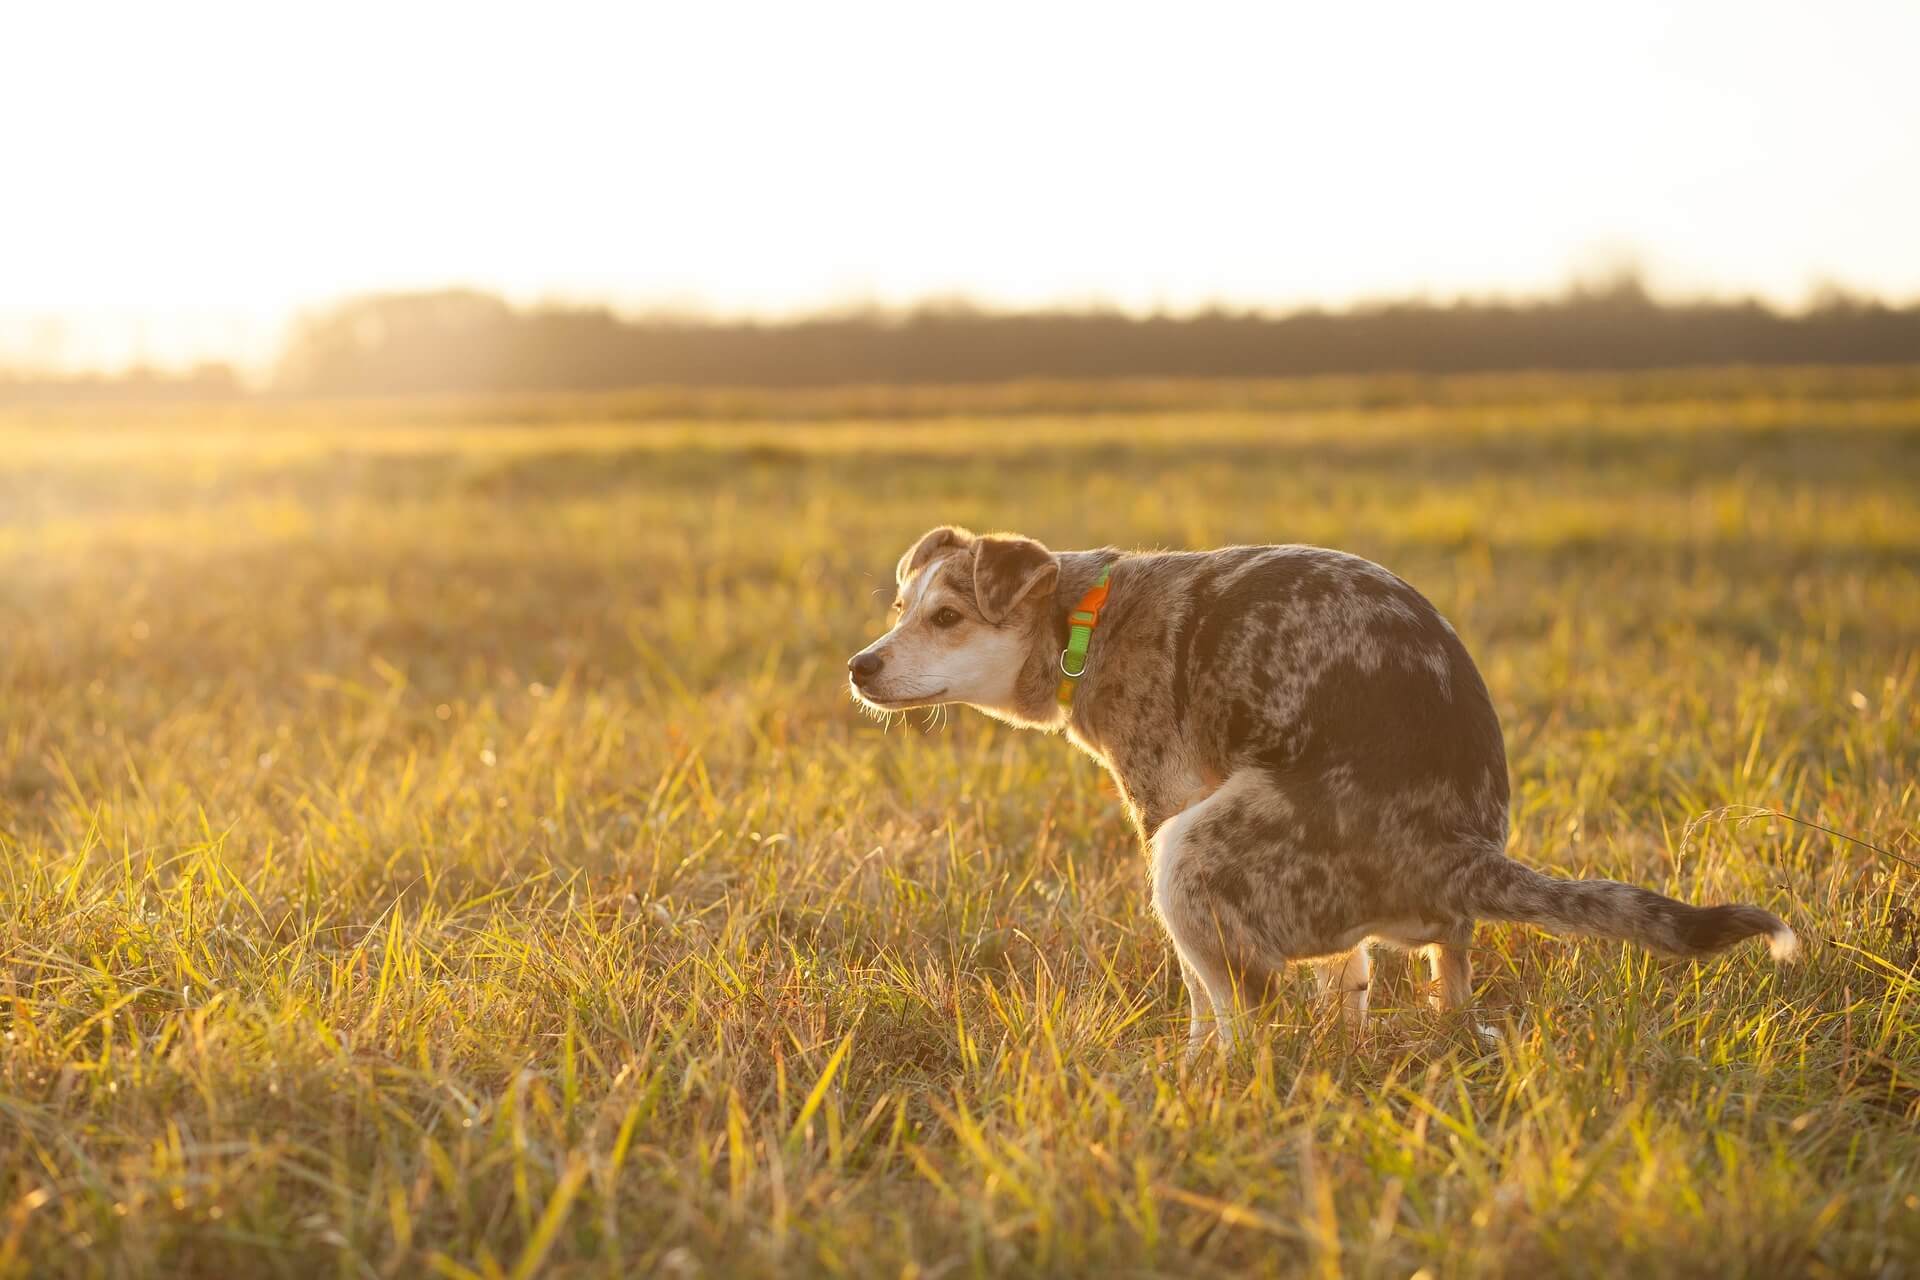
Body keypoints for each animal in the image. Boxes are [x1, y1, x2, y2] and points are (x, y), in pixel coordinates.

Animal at [848, 529, 1789, 1051]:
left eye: (946, 618)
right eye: (898, 608)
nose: (859, 666)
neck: (1086, 619)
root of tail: (1461, 852)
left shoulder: (1163, 804)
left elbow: (1201, 996)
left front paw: (1191, 1064)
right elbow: (1351, 977)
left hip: (1189, 853)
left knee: (1248, 1015)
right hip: (1406, 925)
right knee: (1439, 976)